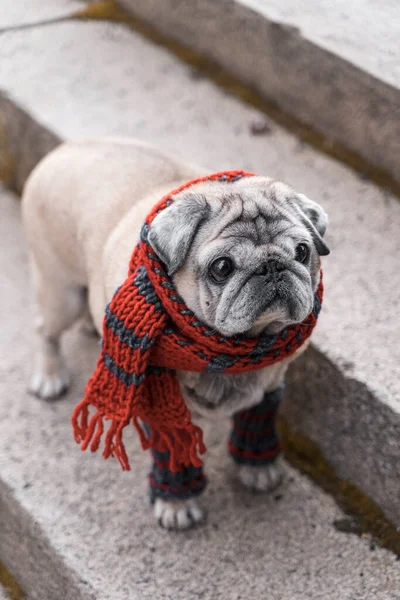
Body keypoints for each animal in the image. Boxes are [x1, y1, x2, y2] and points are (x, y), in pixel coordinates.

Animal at [21, 137, 328, 528]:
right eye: (222, 268)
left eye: (302, 251)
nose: (271, 267)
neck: (233, 351)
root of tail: (66, 147)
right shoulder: (162, 412)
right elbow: (174, 449)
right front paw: (176, 504)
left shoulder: (270, 384)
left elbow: (257, 418)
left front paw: (257, 467)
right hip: (62, 295)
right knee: (44, 328)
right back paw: (49, 376)